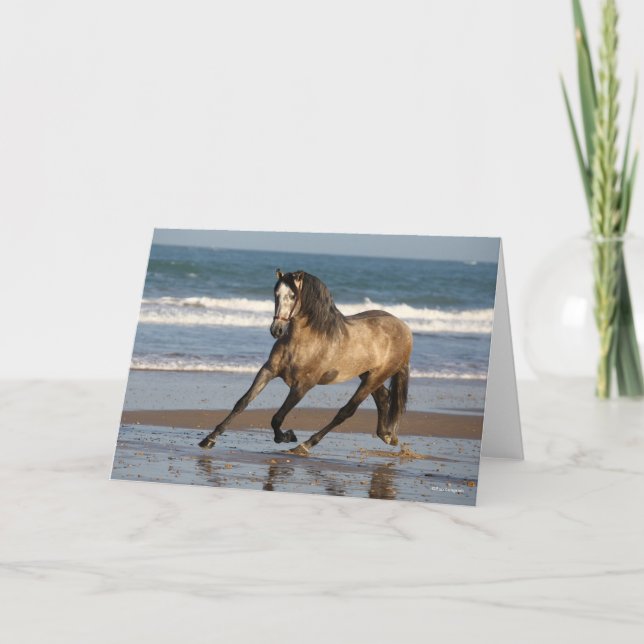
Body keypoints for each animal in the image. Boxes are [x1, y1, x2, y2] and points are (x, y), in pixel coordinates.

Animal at [198, 269, 413, 456]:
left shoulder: (303, 386)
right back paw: (387, 436)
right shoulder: (268, 371)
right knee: (383, 398)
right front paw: (209, 439)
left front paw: (287, 436)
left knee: (345, 412)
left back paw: (304, 445)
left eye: (293, 296)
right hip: (367, 374)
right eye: (276, 293)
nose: (276, 330)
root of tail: (404, 328)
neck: (305, 341)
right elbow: (242, 403)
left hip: (375, 377)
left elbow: (277, 418)